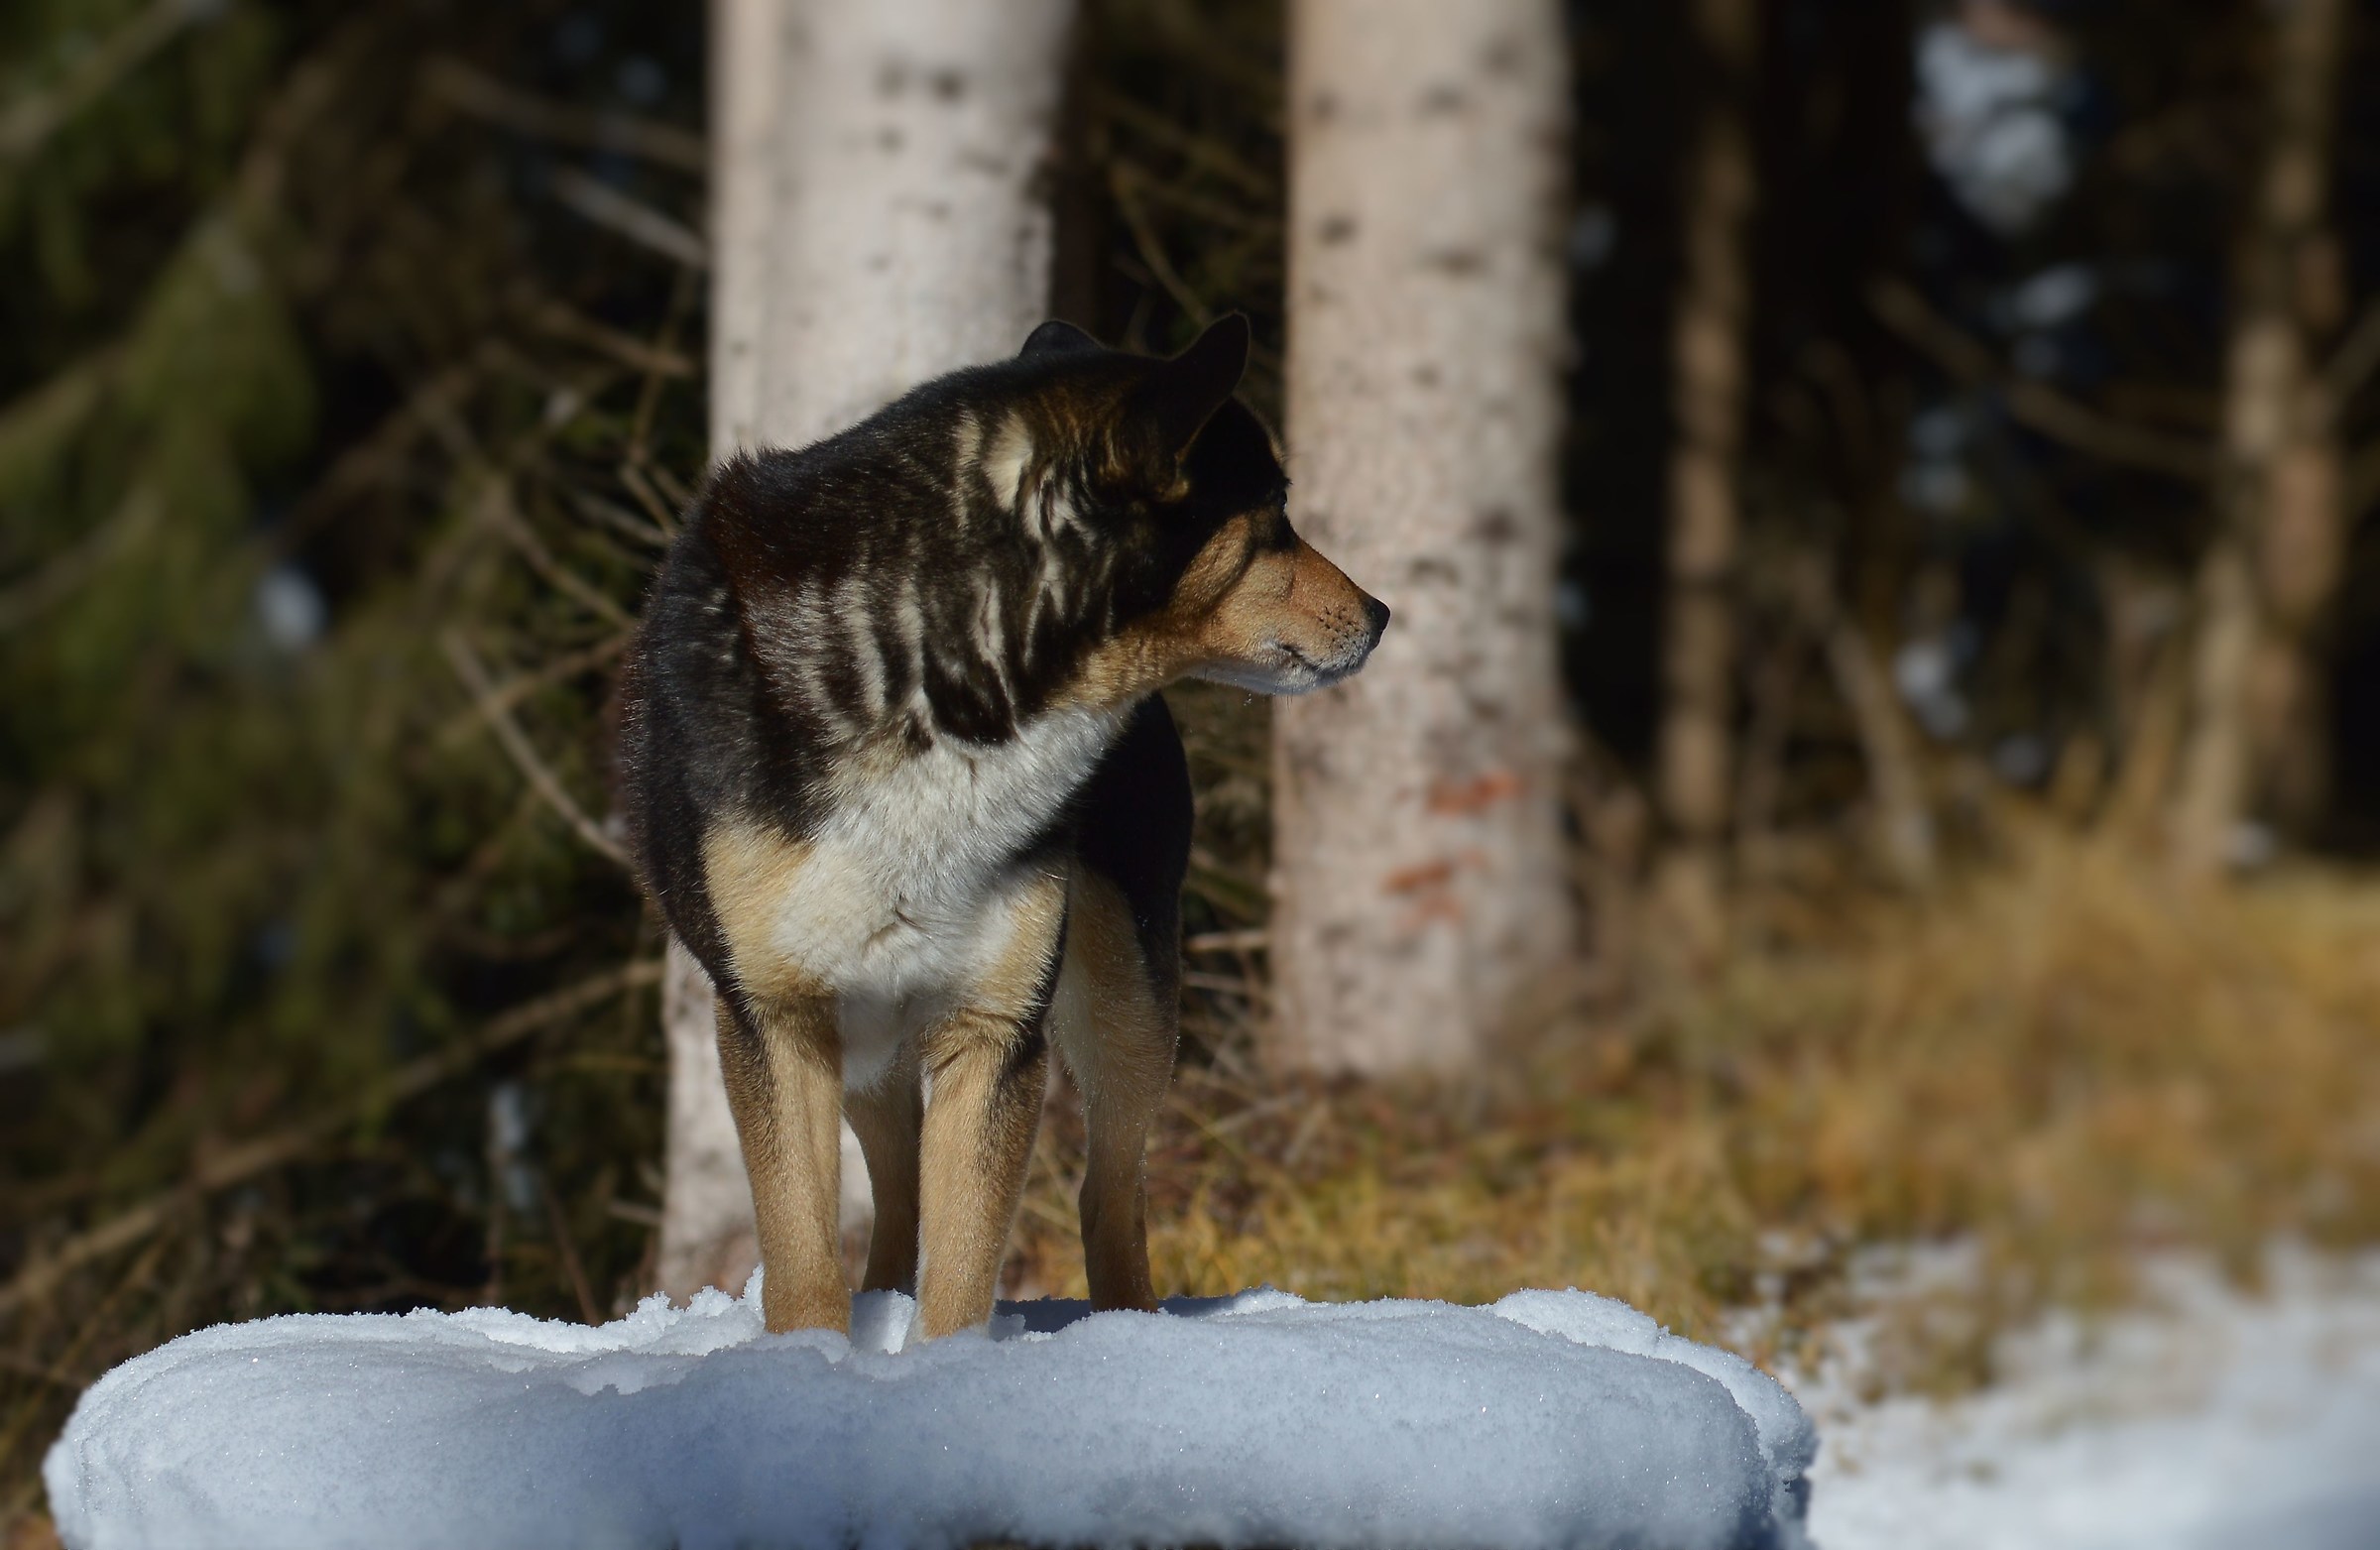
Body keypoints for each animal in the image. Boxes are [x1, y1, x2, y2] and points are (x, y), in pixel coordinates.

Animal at [617, 315, 1387, 1339]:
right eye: (1277, 509)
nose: (1382, 614)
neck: (947, 678)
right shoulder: (775, 1013)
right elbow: (803, 1261)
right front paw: (809, 1366)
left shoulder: (995, 1025)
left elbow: (963, 1271)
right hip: (867, 1037)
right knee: (898, 1194)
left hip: (1127, 994)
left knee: (1107, 1194)